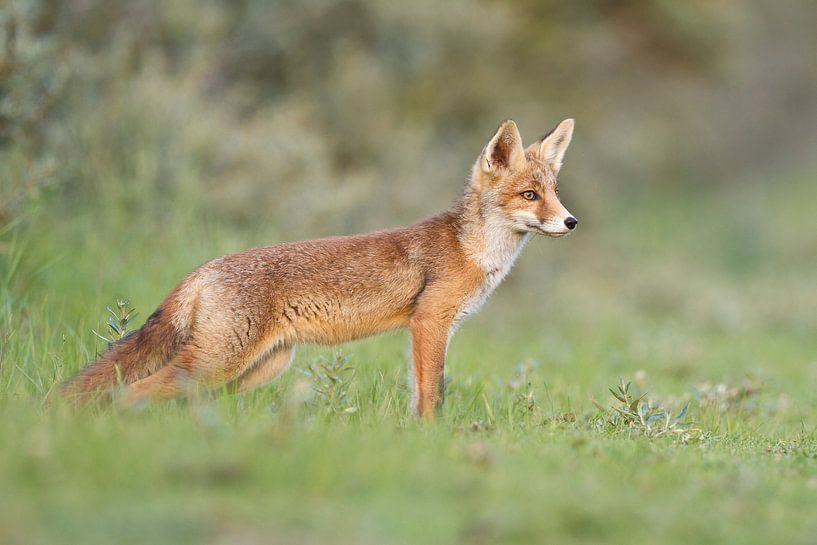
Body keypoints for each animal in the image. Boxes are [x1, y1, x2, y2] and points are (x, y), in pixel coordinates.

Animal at [60, 119, 576, 414]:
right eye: (530, 195)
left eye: (553, 193)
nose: (571, 221)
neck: (472, 250)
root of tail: (201, 270)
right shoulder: (430, 322)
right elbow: (433, 393)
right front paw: (431, 439)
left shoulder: (427, 328)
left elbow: (420, 391)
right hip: (215, 364)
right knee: (131, 392)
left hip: (257, 369)